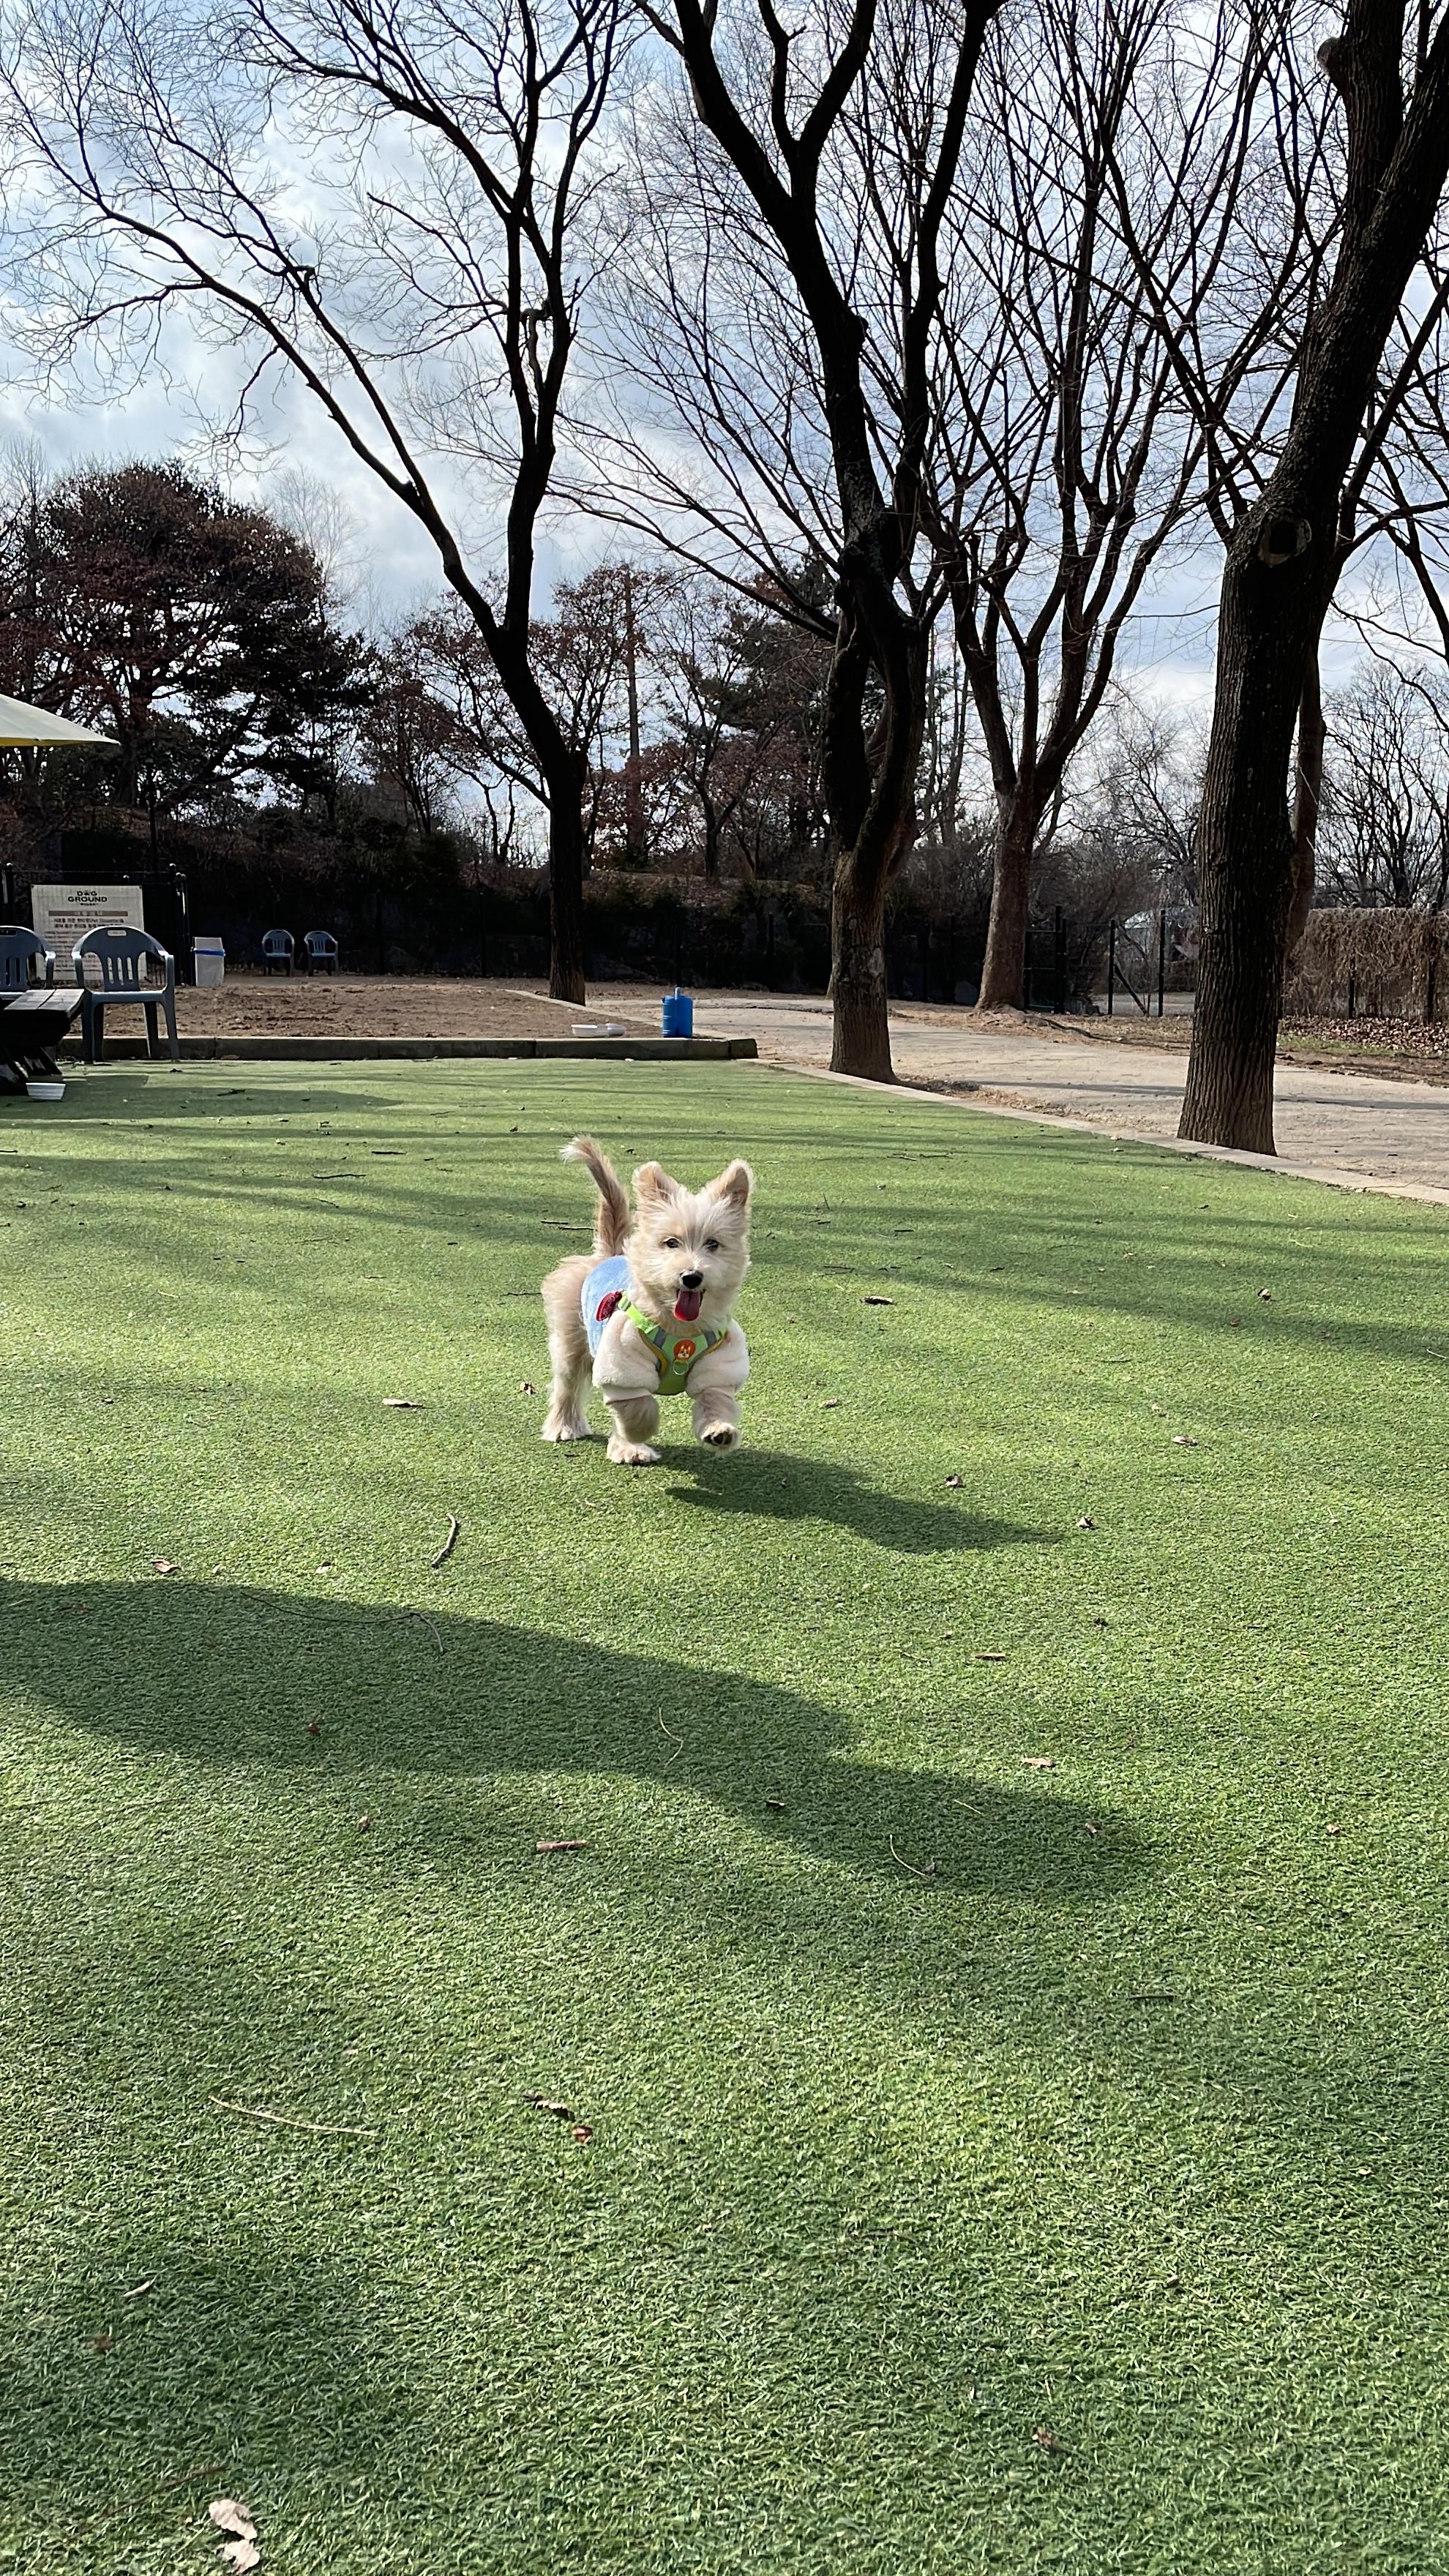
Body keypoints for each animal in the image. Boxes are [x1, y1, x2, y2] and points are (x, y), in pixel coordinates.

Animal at [541, 1136, 753, 1465]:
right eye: (671, 1243)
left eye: (713, 1244)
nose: (691, 1276)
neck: (680, 1330)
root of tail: (610, 1253)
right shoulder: (623, 1362)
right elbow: (638, 1408)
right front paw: (636, 1439)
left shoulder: (719, 1365)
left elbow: (714, 1400)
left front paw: (719, 1432)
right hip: (571, 1342)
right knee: (566, 1386)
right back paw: (564, 1426)